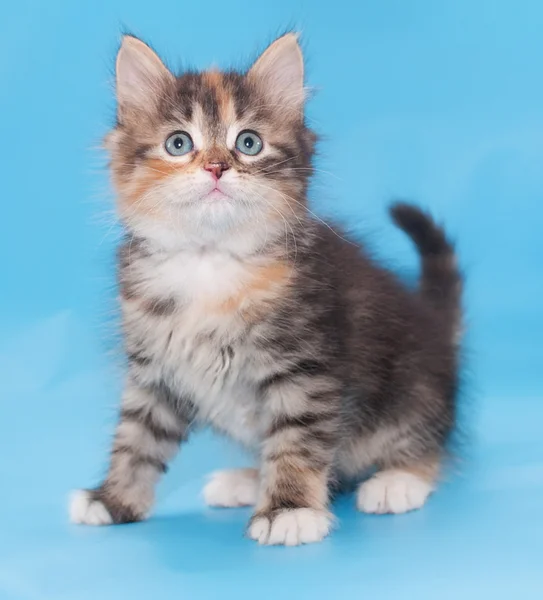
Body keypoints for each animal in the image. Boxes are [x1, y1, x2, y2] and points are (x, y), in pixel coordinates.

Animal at [69, 35, 464, 548]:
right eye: (179, 144)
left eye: (248, 143)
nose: (217, 167)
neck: (210, 261)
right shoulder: (154, 372)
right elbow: (137, 438)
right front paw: (112, 498)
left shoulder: (306, 369)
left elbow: (296, 442)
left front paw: (289, 510)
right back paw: (247, 479)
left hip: (412, 387)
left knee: (425, 441)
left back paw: (398, 481)